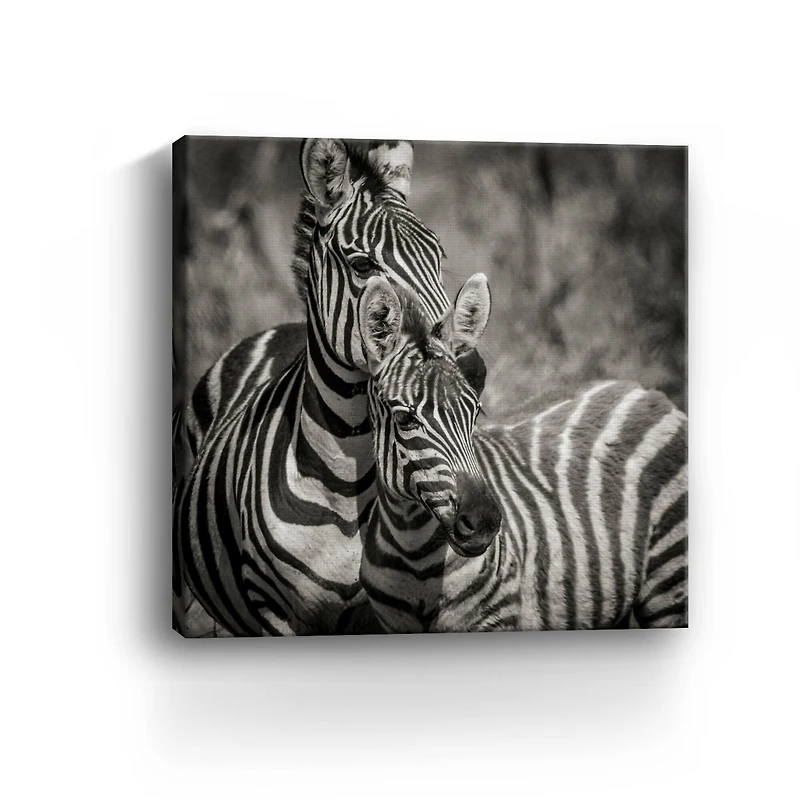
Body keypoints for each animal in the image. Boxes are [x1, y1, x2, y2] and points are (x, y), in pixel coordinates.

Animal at [358, 274, 688, 633]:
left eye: (475, 413)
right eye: (405, 419)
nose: (485, 522)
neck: (413, 550)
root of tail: (643, 389)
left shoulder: (494, 621)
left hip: (669, 578)